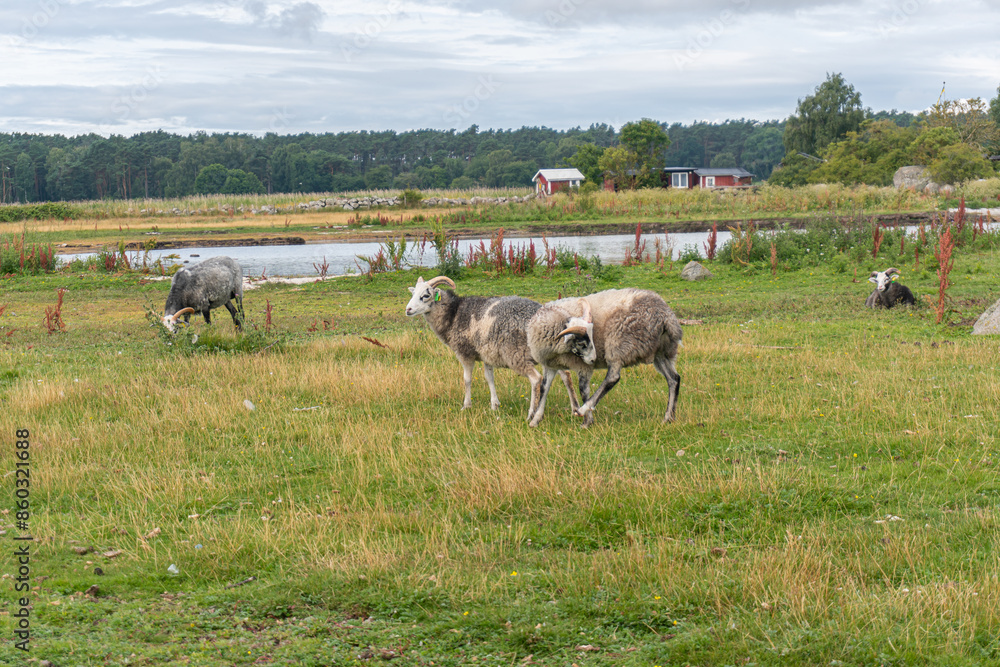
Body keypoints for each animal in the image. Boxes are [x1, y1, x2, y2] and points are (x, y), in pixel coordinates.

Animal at [405, 275, 577, 419]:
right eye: (413, 294)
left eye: (425, 295)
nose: (408, 310)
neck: (453, 313)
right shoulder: (486, 354)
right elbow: (490, 378)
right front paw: (495, 405)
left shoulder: (465, 353)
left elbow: (467, 379)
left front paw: (466, 405)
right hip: (549, 353)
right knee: (566, 375)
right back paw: (575, 409)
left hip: (516, 354)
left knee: (536, 379)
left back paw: (531, 414)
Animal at [526, 288, 682, 427]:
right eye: (582, 343)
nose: (594, 360)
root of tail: (666, 315)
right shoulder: (551, 365)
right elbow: (544, 388)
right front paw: (535, 420)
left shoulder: (583, 366)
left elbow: (583, 390)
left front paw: (587, 422)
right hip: (660, 351)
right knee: (673, 378)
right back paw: (668, 417)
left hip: (619, 343)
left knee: (612, 378)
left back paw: (583, 409)